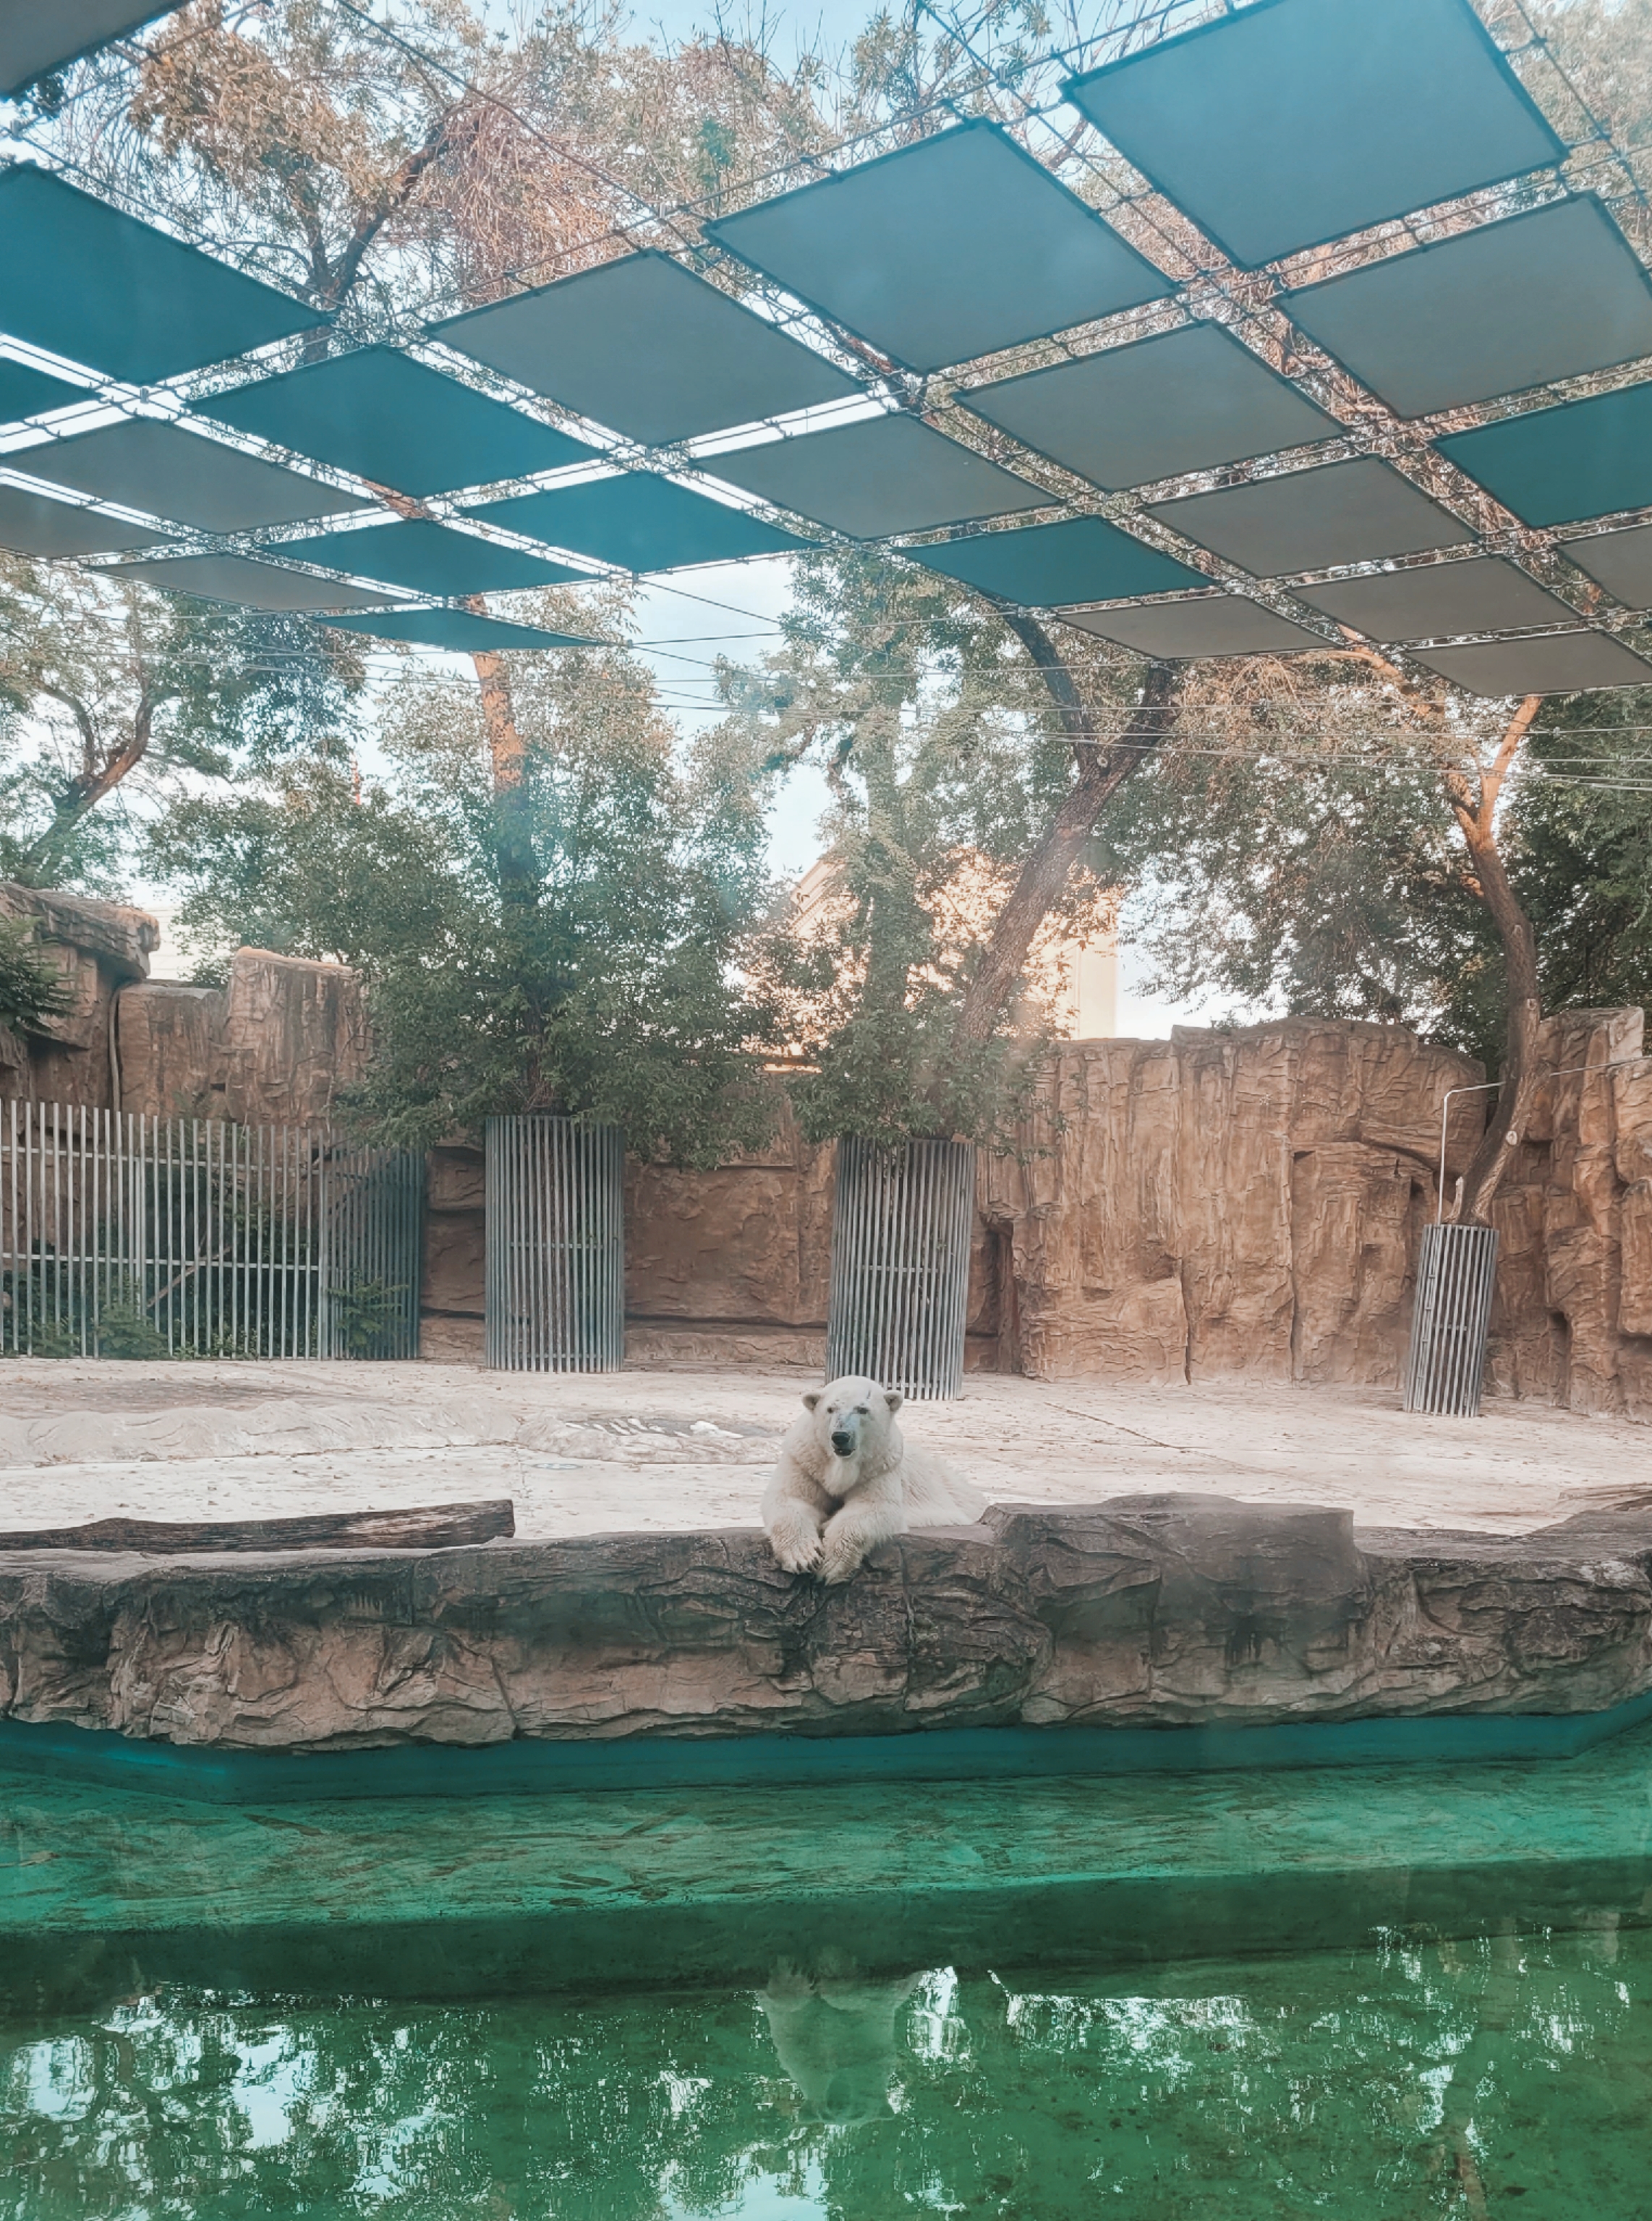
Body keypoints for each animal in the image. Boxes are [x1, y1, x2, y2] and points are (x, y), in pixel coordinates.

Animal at [760, 1373, 987, 1584]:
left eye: (862, 1410)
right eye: (830, 1409)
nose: (840, 1436)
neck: (841, 1466)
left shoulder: (878, 1467)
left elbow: (872, 1506)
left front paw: (831, 1564)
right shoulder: (806, 1461)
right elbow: (790, 1499)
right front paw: (804, 1558)